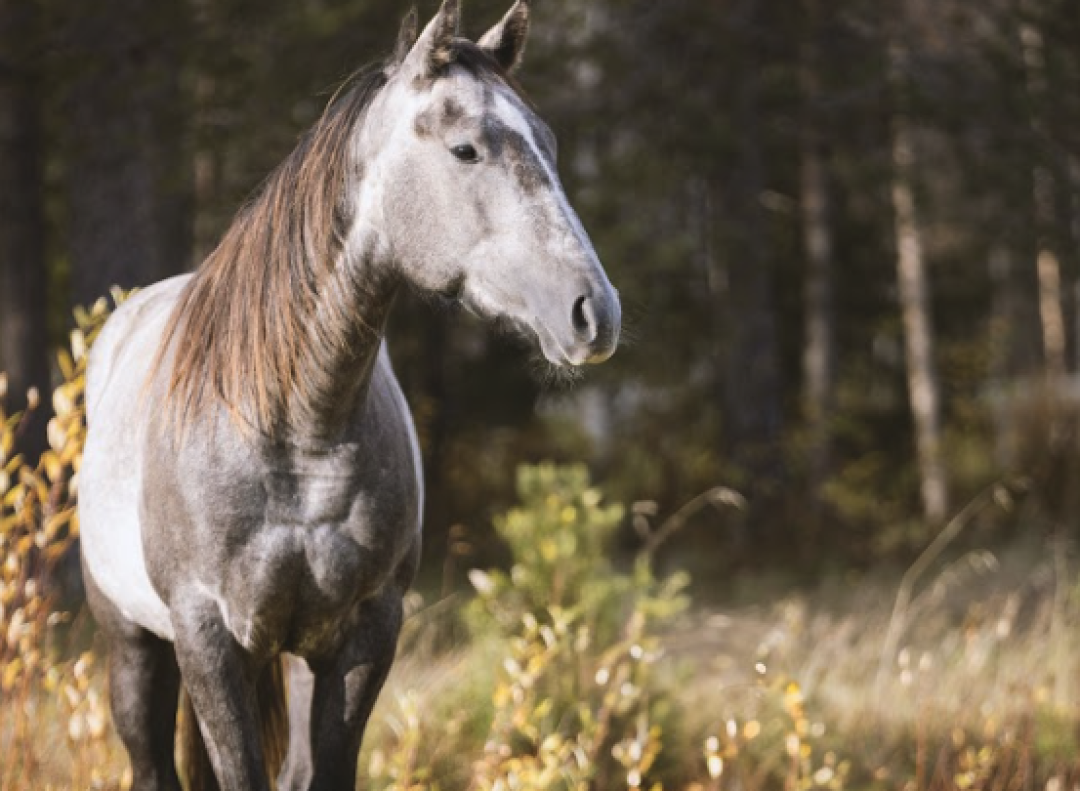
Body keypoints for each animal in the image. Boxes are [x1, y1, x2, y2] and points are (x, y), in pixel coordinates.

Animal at [77, 1, 619, 789]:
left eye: (546, 143)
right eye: (465, 150)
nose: (593, 311)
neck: (293, 431)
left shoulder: (364, 634)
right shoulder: (207, 636)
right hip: (133, 644)